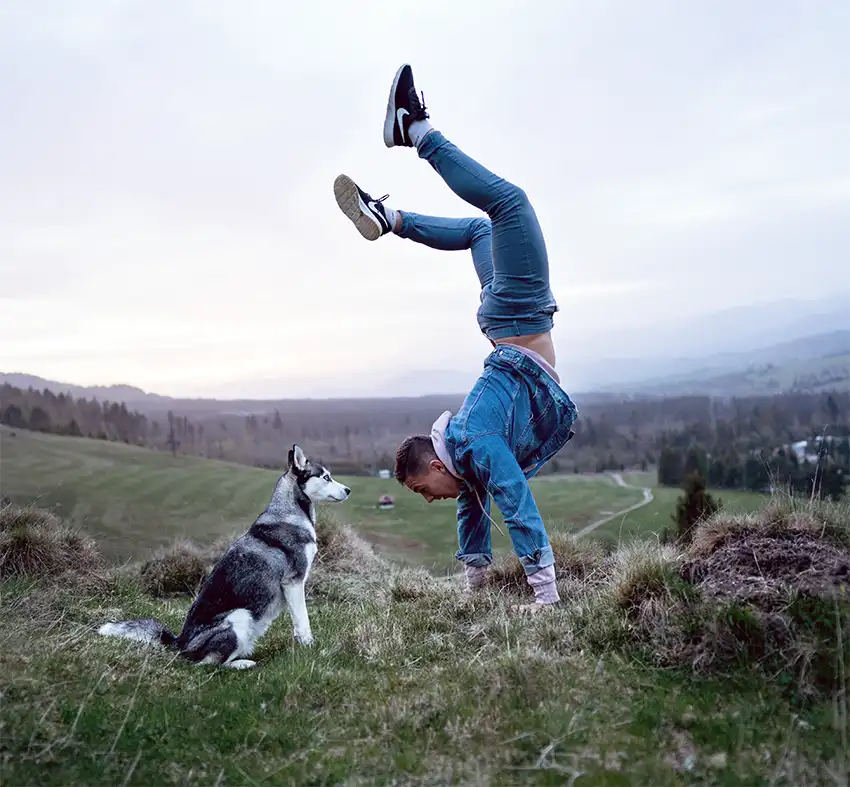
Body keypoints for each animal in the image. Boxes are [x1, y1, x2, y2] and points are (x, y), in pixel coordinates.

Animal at [97, 446, 350, 668]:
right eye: (326, 477)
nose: (348, 490)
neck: (290, 512)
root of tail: (179, 643)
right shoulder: (294, 583)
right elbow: (303, 621)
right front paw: (310, 647)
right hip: (240, 616)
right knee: (207, 664)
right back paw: (242, 664)